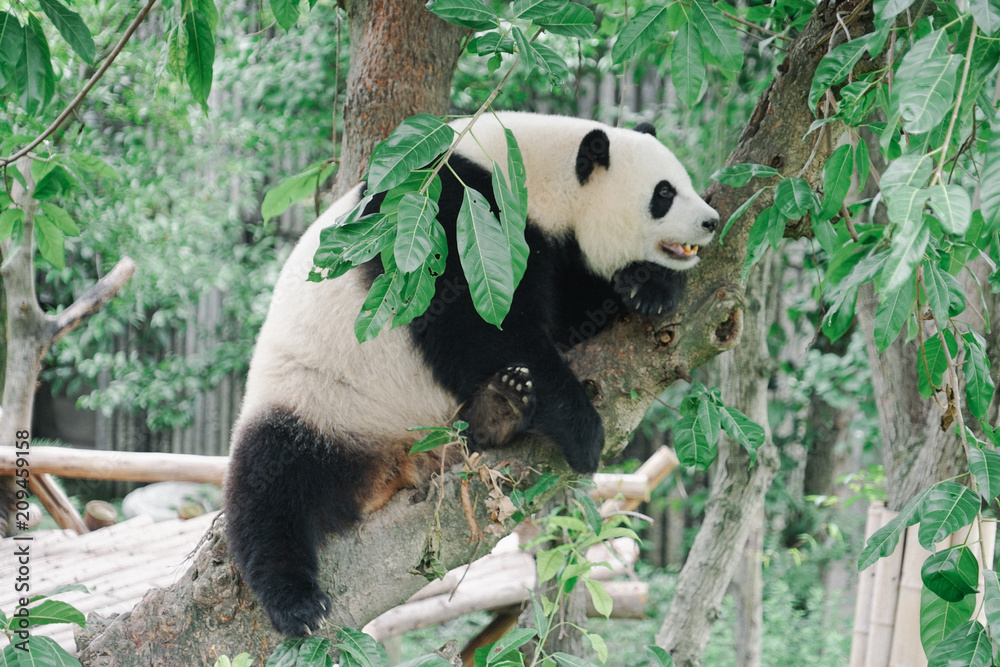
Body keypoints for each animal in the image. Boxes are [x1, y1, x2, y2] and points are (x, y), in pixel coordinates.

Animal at [224, 112, 718, 636]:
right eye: (664, 193)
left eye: (683, 182)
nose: (711, 221)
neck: (538, 173)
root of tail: (387, 466)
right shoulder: (446, 214)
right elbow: (477, 326)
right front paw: (584, 432)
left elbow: (575, 318)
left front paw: (648, 287)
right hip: (319, 401)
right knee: (269, 487)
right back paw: (297, 602)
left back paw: (500, 408)